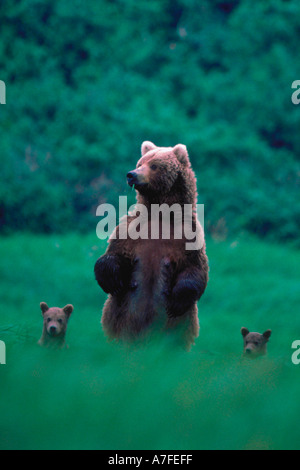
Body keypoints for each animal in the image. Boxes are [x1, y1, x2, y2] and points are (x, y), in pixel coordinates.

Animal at [94, 141, 209, 346]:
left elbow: (195, 269)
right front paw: (112, 280)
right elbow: (115, 254)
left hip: (177, 327)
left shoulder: (190, 236)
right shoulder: (130, 229)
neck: (161, 215)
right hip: (119, 317)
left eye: (154, 165)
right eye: (140, 162)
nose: (131, 174)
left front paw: (177, 300)